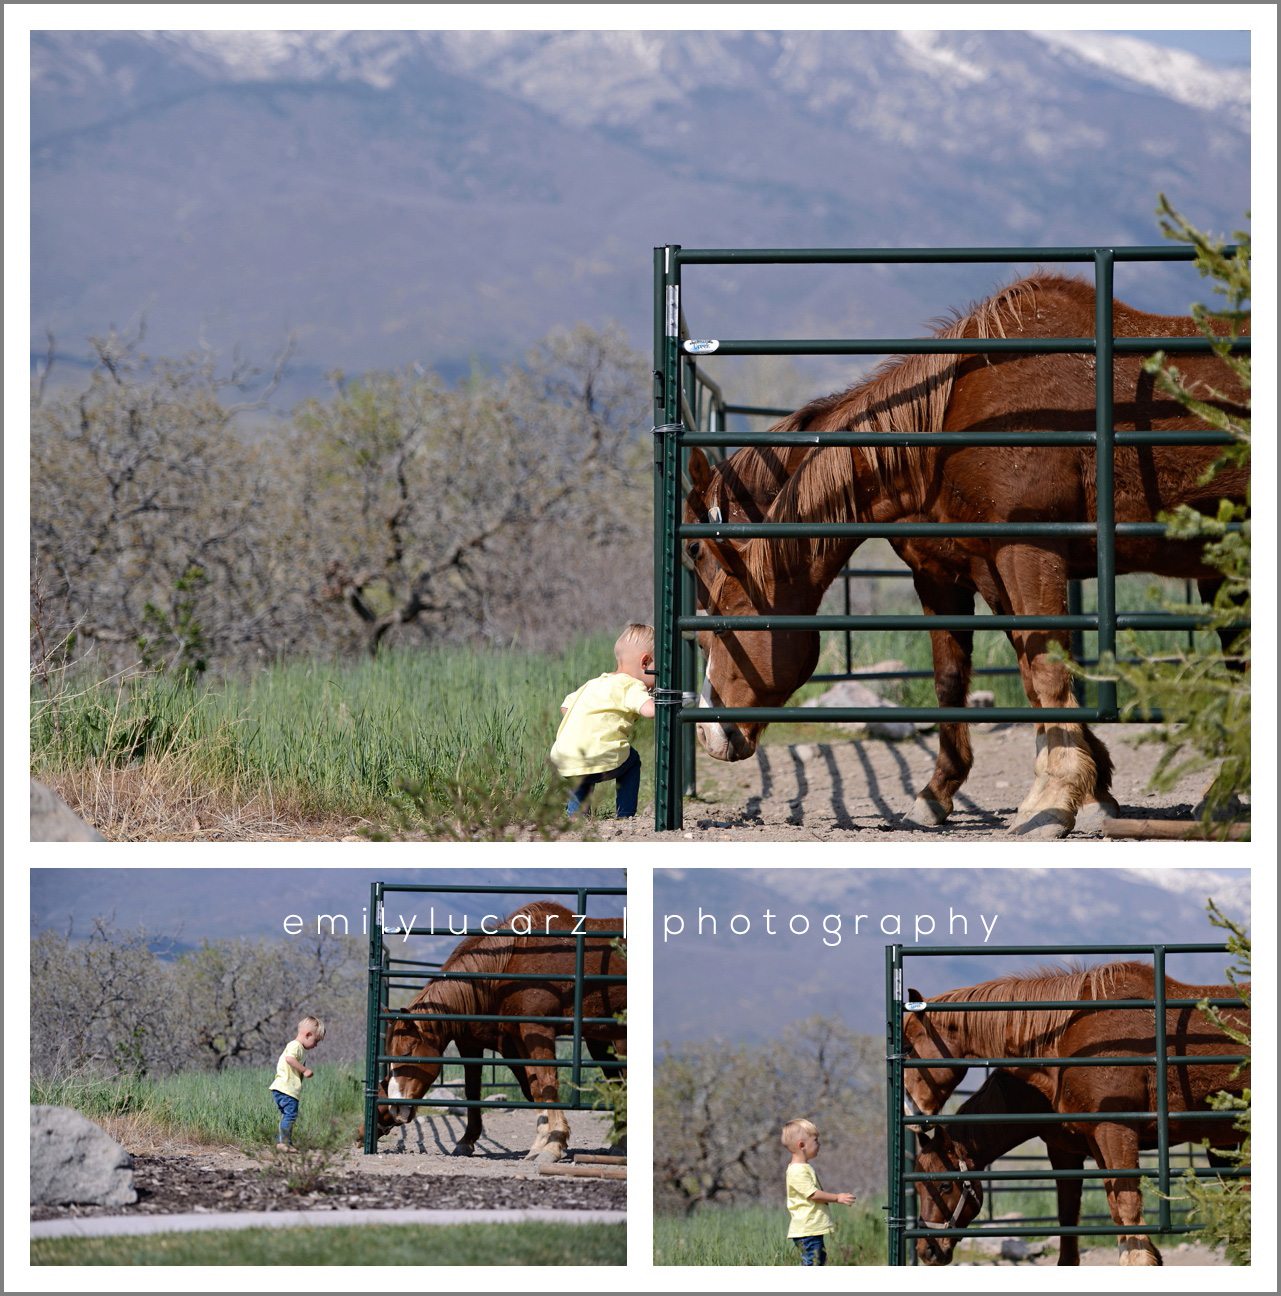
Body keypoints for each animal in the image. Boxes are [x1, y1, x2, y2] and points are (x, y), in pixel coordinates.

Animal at [370, 902, 624, 1166]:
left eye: (407, 1052)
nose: (395, 1108)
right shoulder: (487, 1042)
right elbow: (511, 1088)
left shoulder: (531, 1033)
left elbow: (543, 1084)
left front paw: (554, 1144)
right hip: (599, 1040)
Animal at [684, 274, 1244, 839]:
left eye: (722, 625)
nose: (711, 737)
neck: (951, 425)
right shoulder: (962, 571)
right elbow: (980, 674)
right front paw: (1069, 788)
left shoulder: (1023, 550)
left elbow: (1043, 668)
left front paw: (1056, 797)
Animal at [897, 964, 1244, 1264]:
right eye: (918, 1188)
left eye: (944, 1186)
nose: (928, 1251)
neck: (1069, 1037)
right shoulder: (1085, 1145)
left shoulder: (1111, 1134)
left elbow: (1126, 1213)